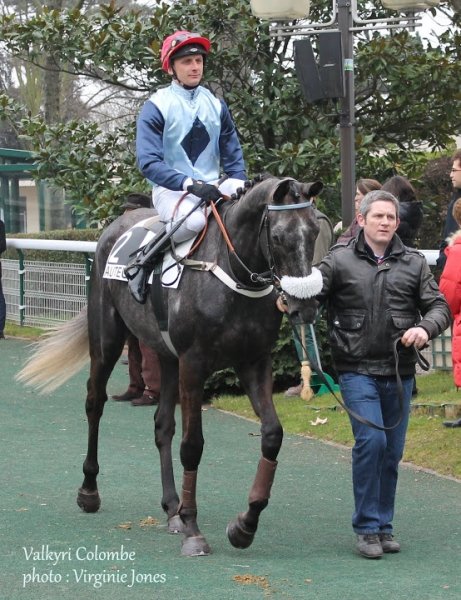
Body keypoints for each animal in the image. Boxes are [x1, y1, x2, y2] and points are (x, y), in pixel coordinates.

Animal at [17, 175, 322, 557]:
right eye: (279, 236)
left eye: (315, 231)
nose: (304, 306)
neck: (229, 272)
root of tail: (116, 224)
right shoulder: (194, 364)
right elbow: (192, 445)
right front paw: (193, 528)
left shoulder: (253, 362)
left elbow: (272, 435)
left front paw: (244, 525)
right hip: (107, 341)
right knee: (94, 403)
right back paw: (89, 491)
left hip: (165, 356)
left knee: (162, 425)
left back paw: (171, 507)